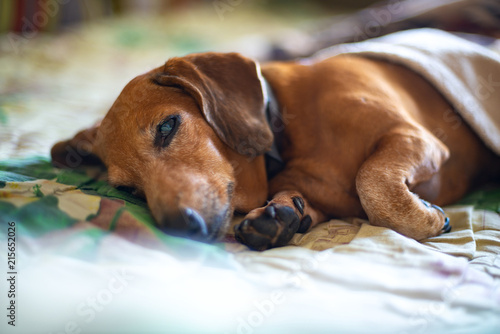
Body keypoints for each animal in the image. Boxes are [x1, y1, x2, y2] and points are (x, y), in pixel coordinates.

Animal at [51, 51, 500, 249]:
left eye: (166, 127)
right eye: (128, 191)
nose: (179, 228)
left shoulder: (414, 137)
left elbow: (372, 181)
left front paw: (426, 218)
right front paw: (282, 214)